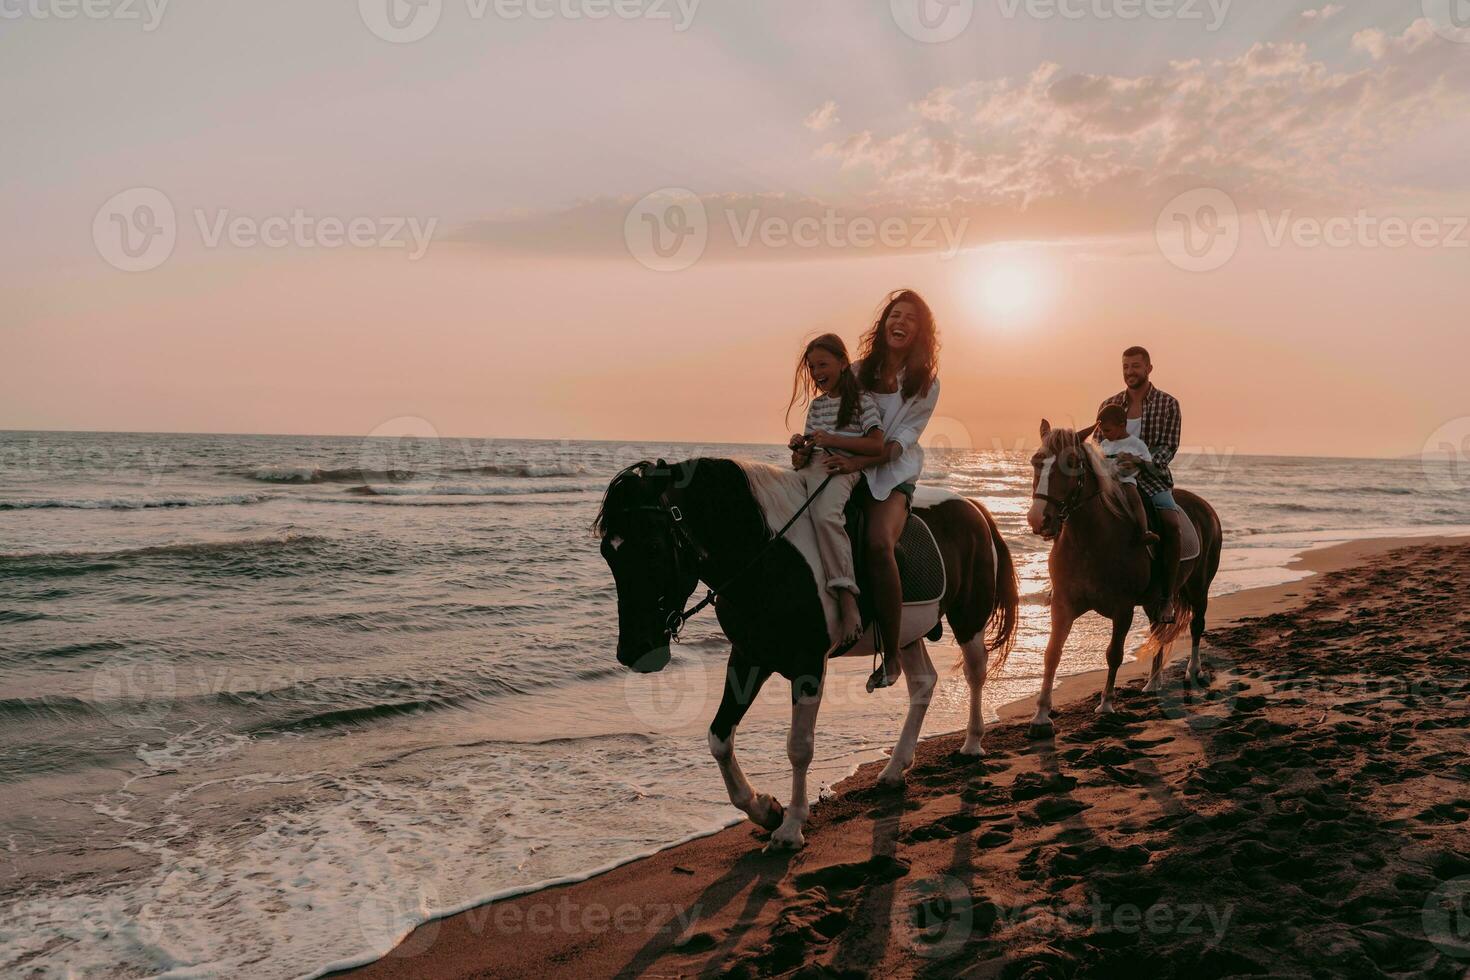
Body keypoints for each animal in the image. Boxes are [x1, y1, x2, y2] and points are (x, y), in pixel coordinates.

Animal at [590, 461, 1017, 852]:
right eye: (607, 553)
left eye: (653, 547)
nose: (635, 651)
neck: (766, 554)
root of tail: (974, 508)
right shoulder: (748, 657)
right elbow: (719, 737)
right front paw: (765, 809)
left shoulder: (809, 664)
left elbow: (799, 746)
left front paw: (791, 826)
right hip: (908, 634)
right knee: (923, 684)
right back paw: (895, 768)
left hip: (968, 616)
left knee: (975, 671)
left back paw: (972, 743)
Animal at [1023, 423, 1217, 734]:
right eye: (1035, 461)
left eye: (1073, 463)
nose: (1038, 519)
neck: (1089, 540)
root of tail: (1206, 508)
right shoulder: (1063, 605)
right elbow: (1051, 653)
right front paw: (1041, 716)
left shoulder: (1122, 609)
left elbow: (1113, 653)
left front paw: (1106, 705)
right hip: (1155, 601)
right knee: (1158, 629)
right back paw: (1153, 683)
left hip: (1199, 588)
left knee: (1197, 625)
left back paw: (1193, 671)